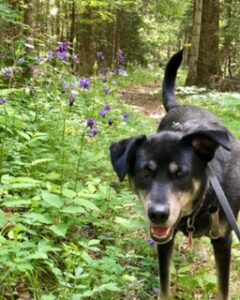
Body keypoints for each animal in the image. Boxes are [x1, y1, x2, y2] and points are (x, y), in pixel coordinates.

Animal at [110, 50, 240, 298]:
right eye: (145, 172)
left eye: (181, 174)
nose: (158, 214)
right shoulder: (164, 239)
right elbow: (164, 285)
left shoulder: (223, 239)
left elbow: (223, 289)